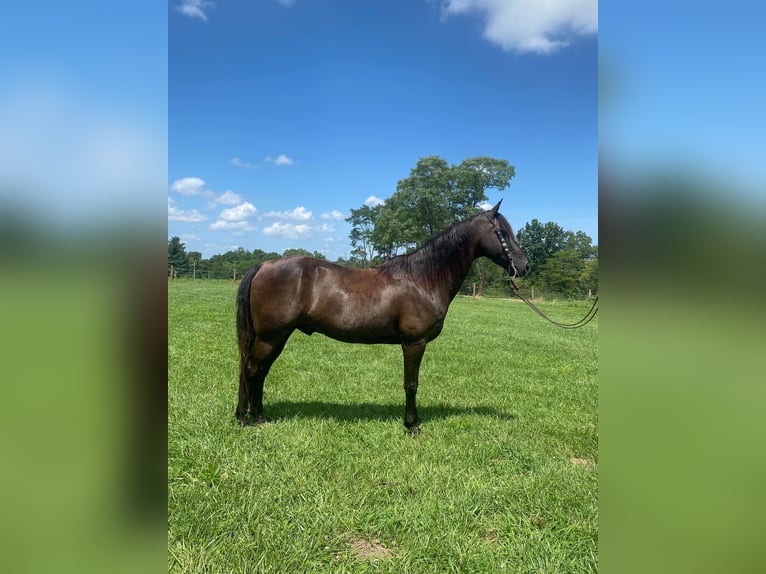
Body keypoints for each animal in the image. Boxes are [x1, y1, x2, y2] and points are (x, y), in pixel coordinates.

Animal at [237, 200, 532, 434]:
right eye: (502, 233)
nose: (524, 265)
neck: (423, 279)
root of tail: (263, 265)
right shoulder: (414, 343)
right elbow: (411, 384)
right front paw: (412, 425)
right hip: (271, 337)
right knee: (251, 369)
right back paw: (249, 419)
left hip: (276, 337)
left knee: (258, 371)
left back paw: (255, 416)